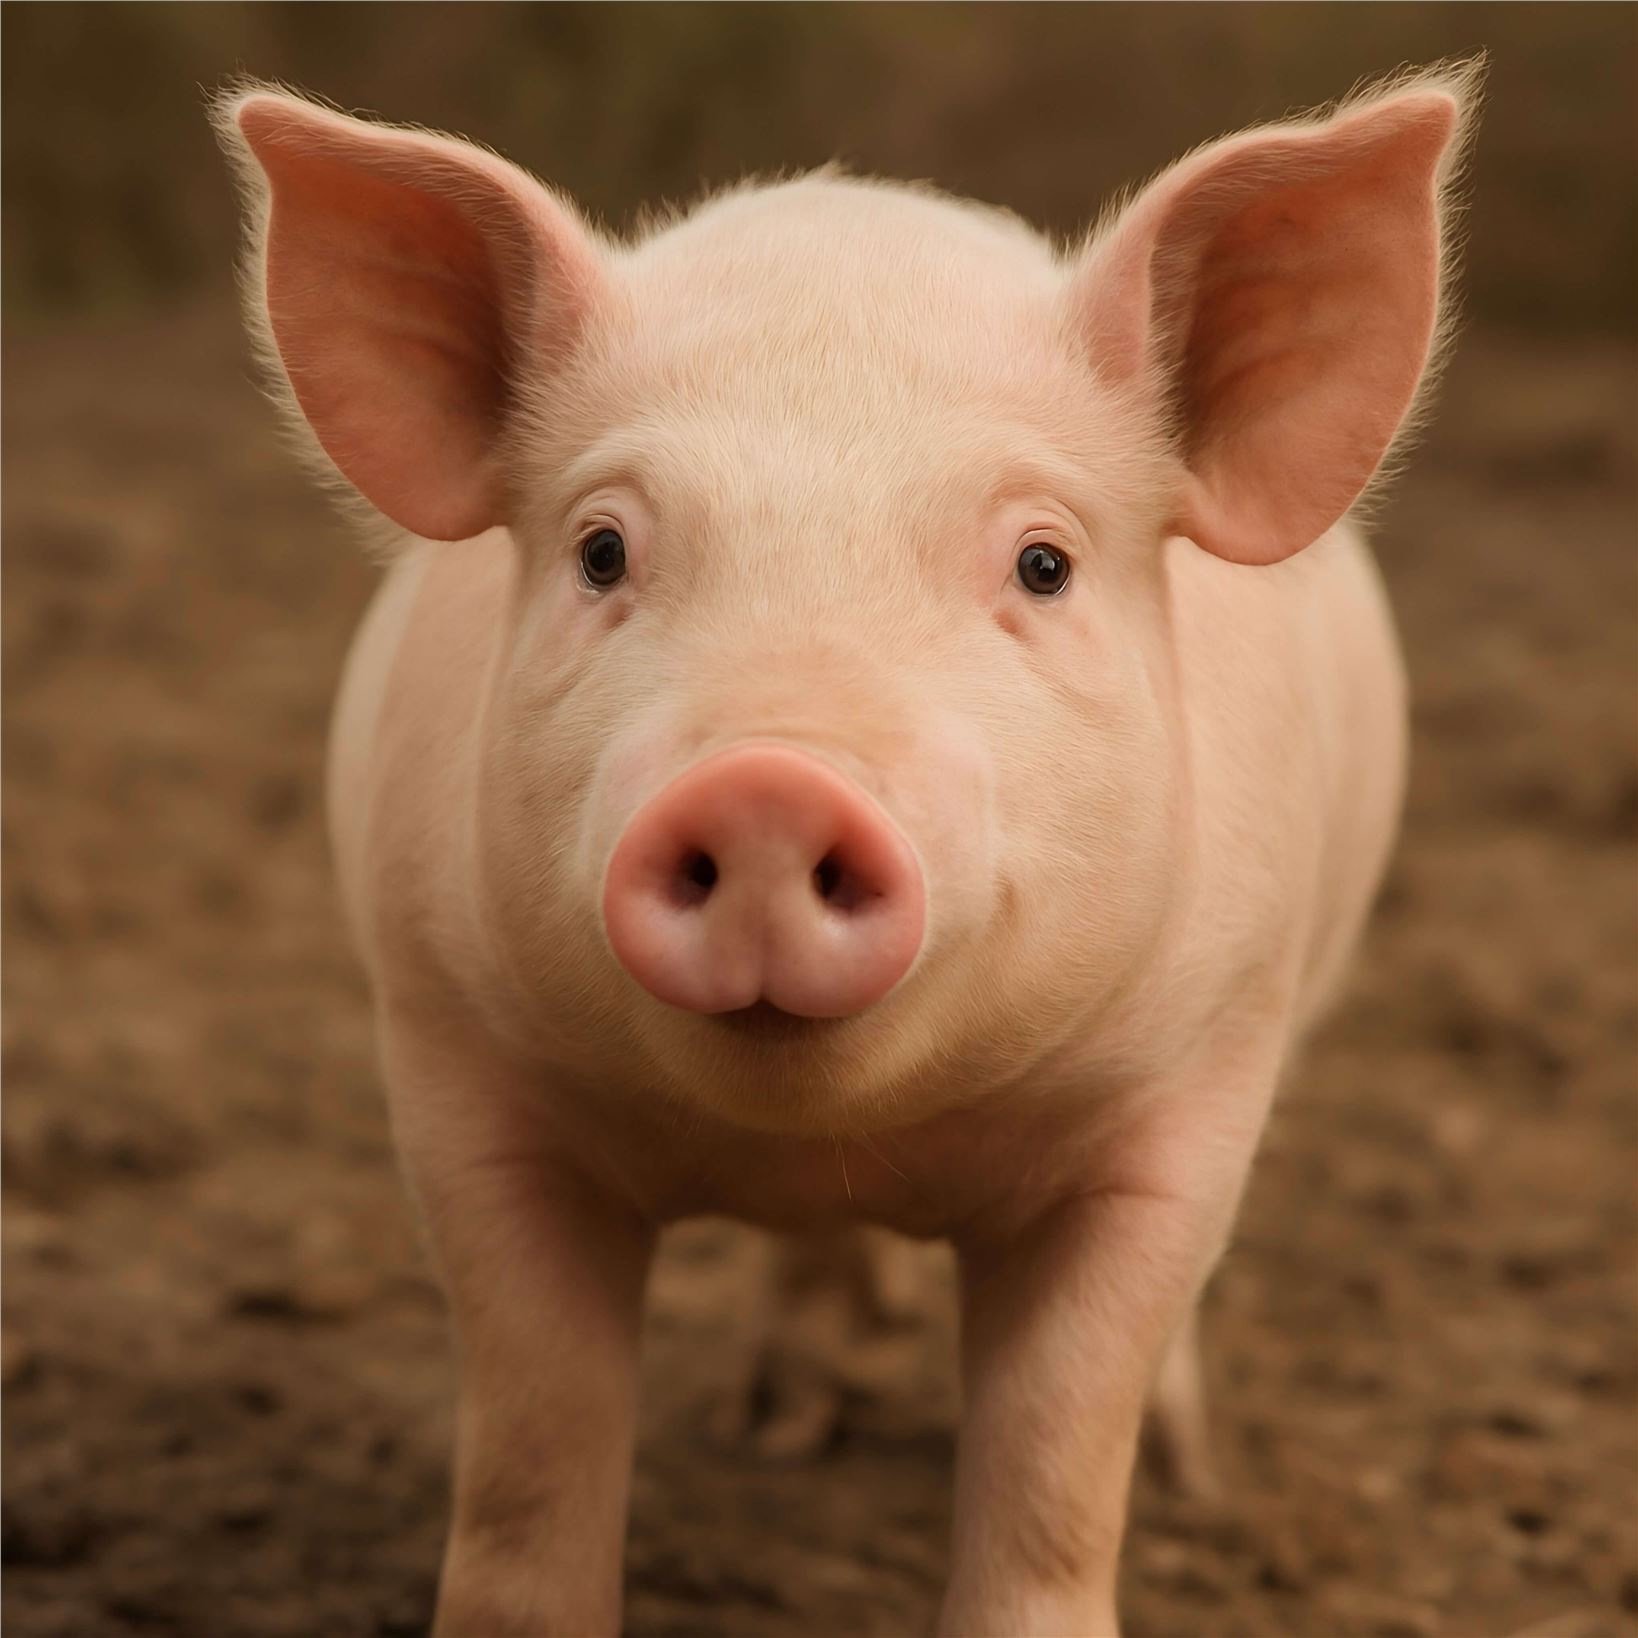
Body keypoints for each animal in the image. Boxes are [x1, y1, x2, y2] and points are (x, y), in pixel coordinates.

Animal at [216, 61, 1479, 1636]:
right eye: (601, 551)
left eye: (1044, 565)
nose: (769, 782)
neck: (834, 1132)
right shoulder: (459, 1073)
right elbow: (527, 1466)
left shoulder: (1185, 1093)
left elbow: (1059, 1467)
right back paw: (778, 1424)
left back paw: (1185, 1474)